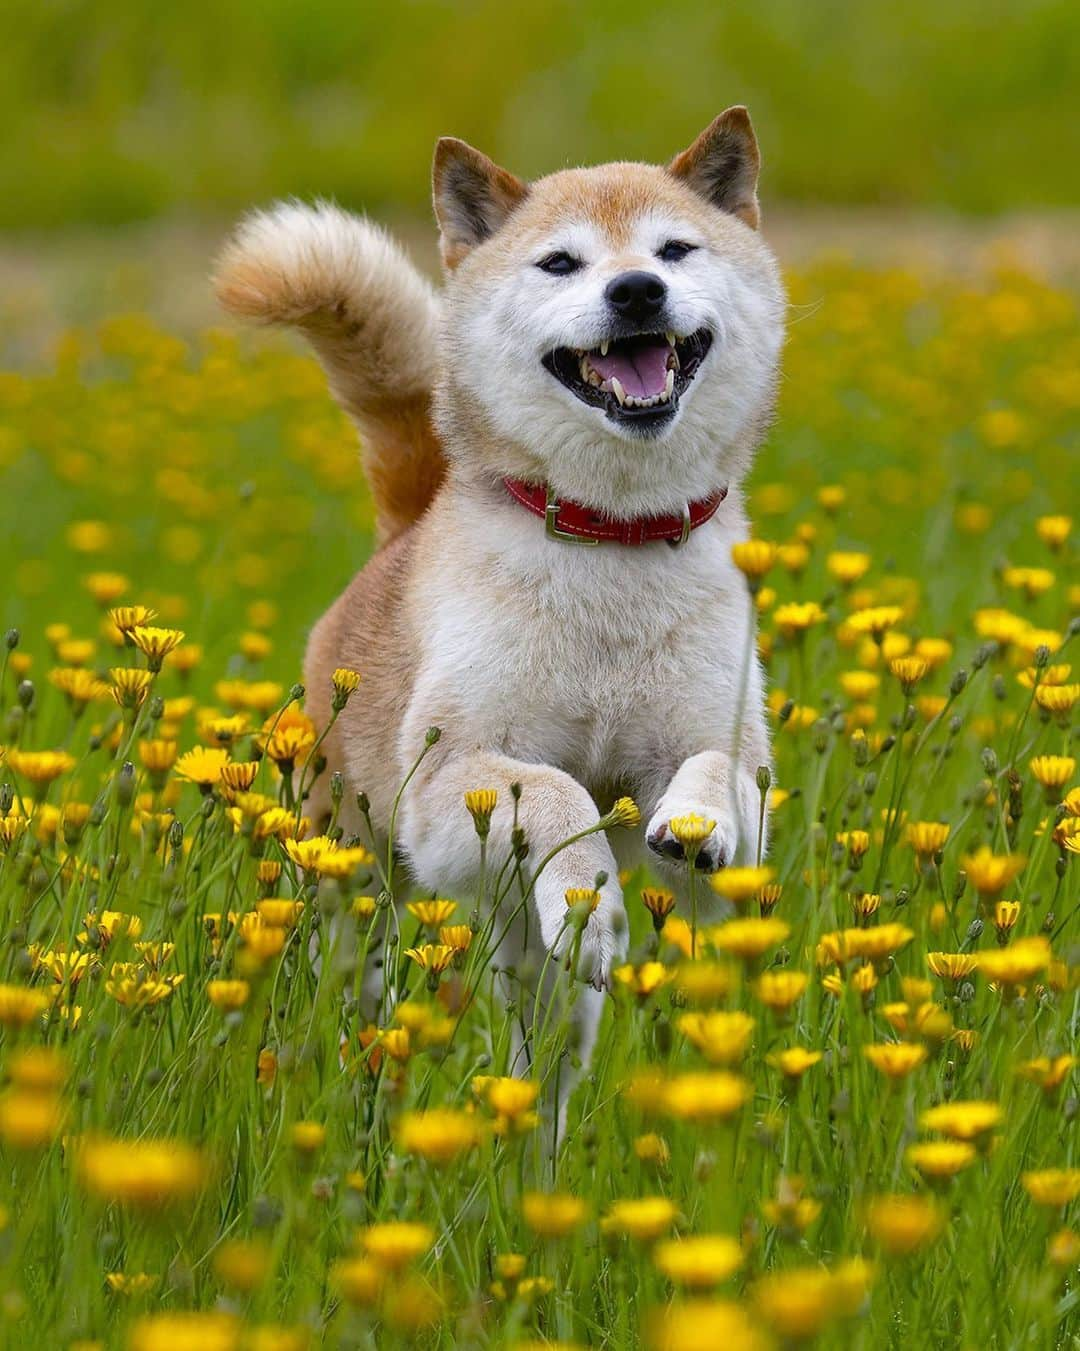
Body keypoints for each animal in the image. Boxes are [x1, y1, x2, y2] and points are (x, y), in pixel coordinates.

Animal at [213, 108, 783, 1086]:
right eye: (560, 262)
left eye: (675, 250)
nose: (637, 290)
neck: (612, 540)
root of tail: (399, 534)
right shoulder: (449, 783)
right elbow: (554, 788)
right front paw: (587, 876)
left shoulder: (721, 809)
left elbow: (718, 772)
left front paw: (692, 820)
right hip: (352, 873)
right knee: (353, 983)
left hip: (538, 973)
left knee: (543, 1052)